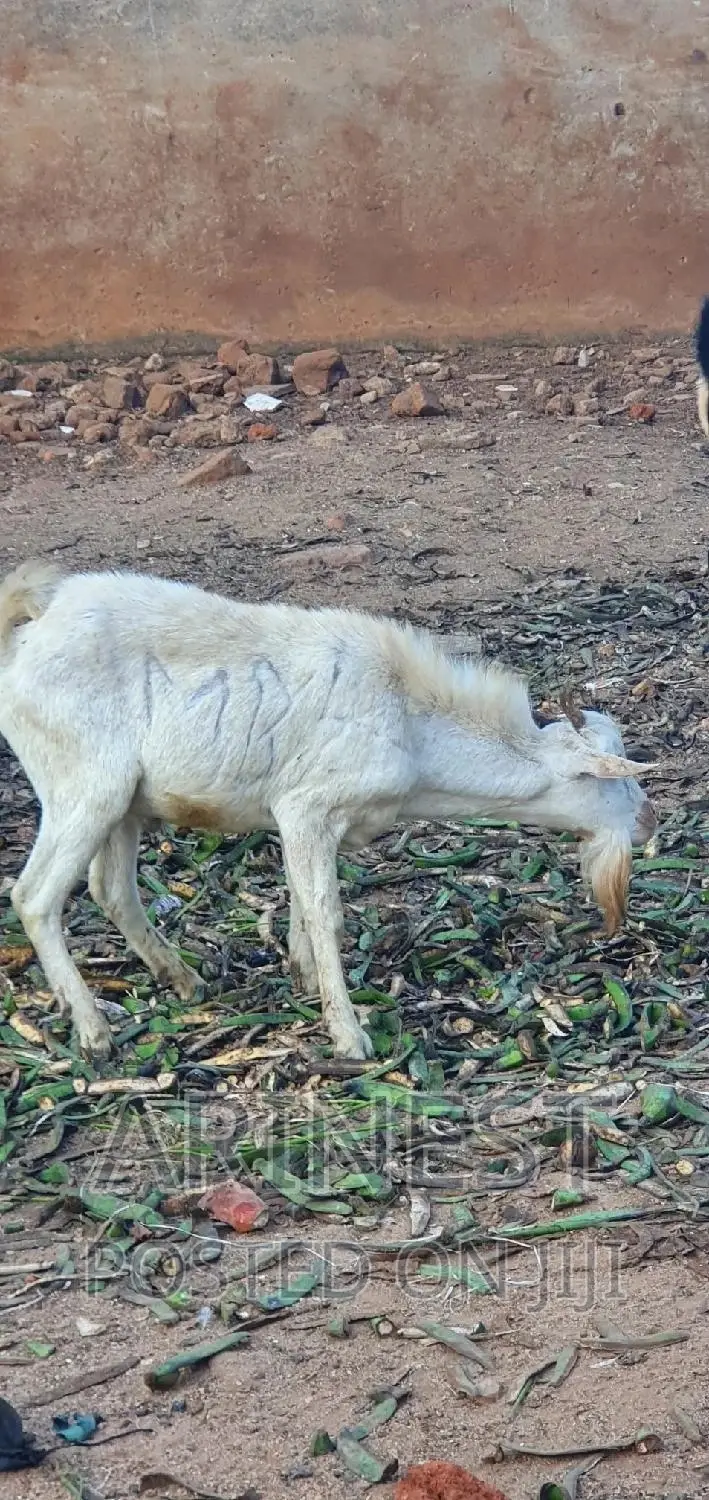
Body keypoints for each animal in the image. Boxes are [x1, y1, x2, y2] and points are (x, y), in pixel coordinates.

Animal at [0, 562, 657, 1063]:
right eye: (616, 781)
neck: (410, 720)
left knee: (110, 887)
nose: (650, 822)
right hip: (85, 789)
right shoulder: (307, 808)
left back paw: (184, 980)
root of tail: (37, 620)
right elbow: (328, 915)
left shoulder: (309, 825)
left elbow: (302, 906)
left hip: (126, 805)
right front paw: (348, 1035)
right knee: (35, 896)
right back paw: (94, 1032)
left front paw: (304, 979)